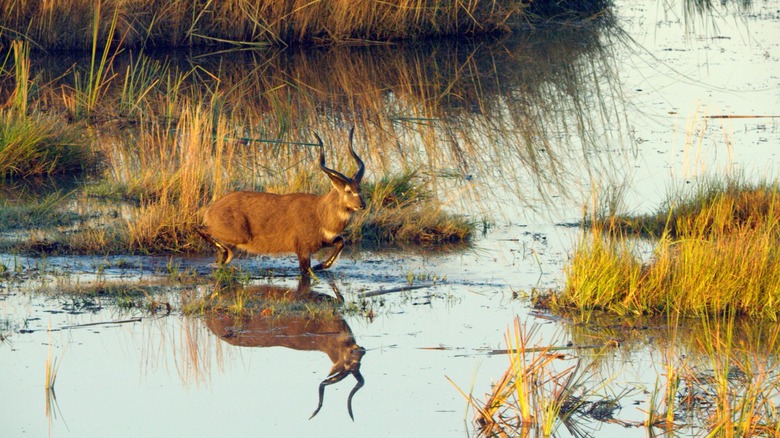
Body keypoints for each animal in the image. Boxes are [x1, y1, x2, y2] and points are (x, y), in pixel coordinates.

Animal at [195, 128, 366, 276]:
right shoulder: (302, 250)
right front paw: (318, 267)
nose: (362, 205)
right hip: (238, 236)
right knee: (200, 228)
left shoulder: (323, 242)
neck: (320, 213)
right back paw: (224, 254)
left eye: (359, 188)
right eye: (348, 190)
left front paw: (320, 265)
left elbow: (341, 241)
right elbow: (306, 271)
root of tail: (211, 209)